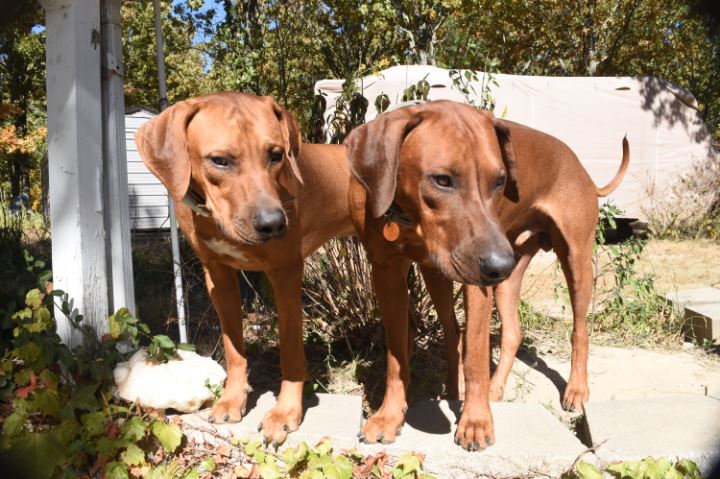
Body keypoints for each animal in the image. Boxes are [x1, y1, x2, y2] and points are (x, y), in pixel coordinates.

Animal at [344, 101, 518, 450]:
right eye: (442, 180)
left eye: (499, 181)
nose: (503, 266)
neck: (407, 217)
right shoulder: (385, 271)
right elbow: (397, 353)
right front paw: (389, 415)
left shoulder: (476, 279)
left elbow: (476, 351)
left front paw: (476, 420)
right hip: (433, 271)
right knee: (451, 330)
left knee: (457, 333)